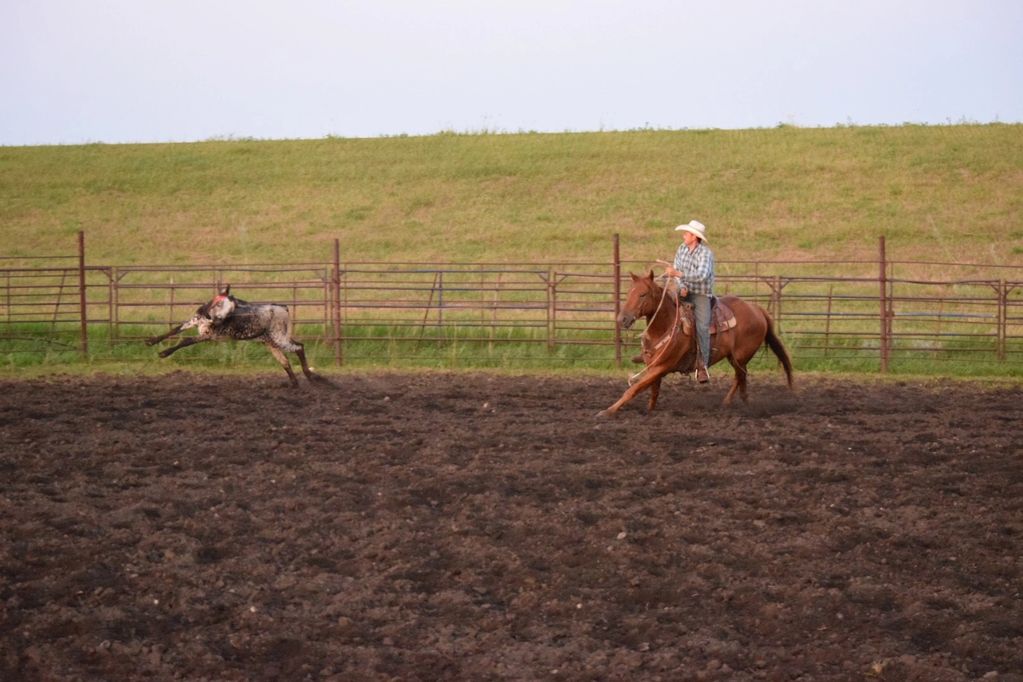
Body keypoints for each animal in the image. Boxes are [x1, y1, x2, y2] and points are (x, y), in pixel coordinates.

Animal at [146, 285, 329, 387]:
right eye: (221, 302)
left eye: (232, 308)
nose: (218, 320)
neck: (208, 316)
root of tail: (283, 308)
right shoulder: (193, 321)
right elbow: (174, 330)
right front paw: (151, 341)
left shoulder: (209, 335)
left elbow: (185, 340)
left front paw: (164, 353)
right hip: (273, 342)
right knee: (285, 361)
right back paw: (294, 383)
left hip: (279, 338)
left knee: (299, 348)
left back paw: (310, 376)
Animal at [598, 271, 793, 416]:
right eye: (628, 293)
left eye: (642, 294)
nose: (622, 319)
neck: (666, 325)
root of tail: (757, 309)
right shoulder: (653, 365)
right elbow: (653, 391)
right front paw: (649, 410)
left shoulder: (662, 366)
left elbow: (635, 388)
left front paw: (608, 411)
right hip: (733, 357)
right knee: (740, 378)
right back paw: (728, 403)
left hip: (740, 357)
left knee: (741, 377)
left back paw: (742, 405)